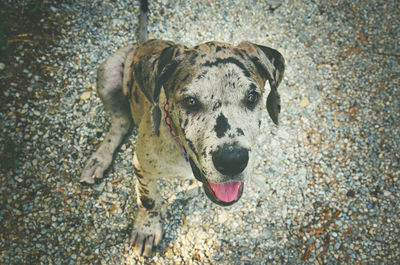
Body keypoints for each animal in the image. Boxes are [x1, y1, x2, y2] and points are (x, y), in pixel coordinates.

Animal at [79, 0, 282, 256]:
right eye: (190, 101)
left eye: (252, 96)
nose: (232, 161)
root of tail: (141, 43)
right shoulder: (141, 165)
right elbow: (149, 200)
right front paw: (147, 228)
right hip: (108, 71)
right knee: (120, 122)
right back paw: (99, 159)